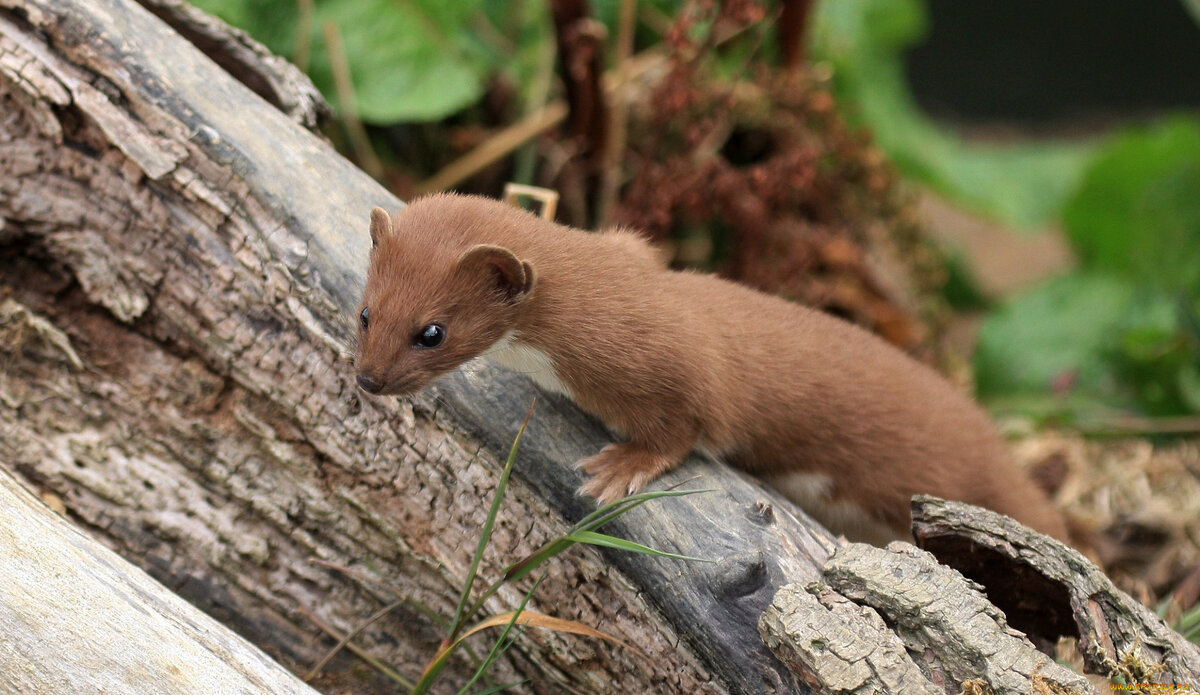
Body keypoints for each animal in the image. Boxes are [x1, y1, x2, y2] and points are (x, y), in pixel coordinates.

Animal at [355, 192, 1070, 544]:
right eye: (367, 312)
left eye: (431, 331)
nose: (368, 379)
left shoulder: (676, 364)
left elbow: (684, 424)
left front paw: (619, 468)